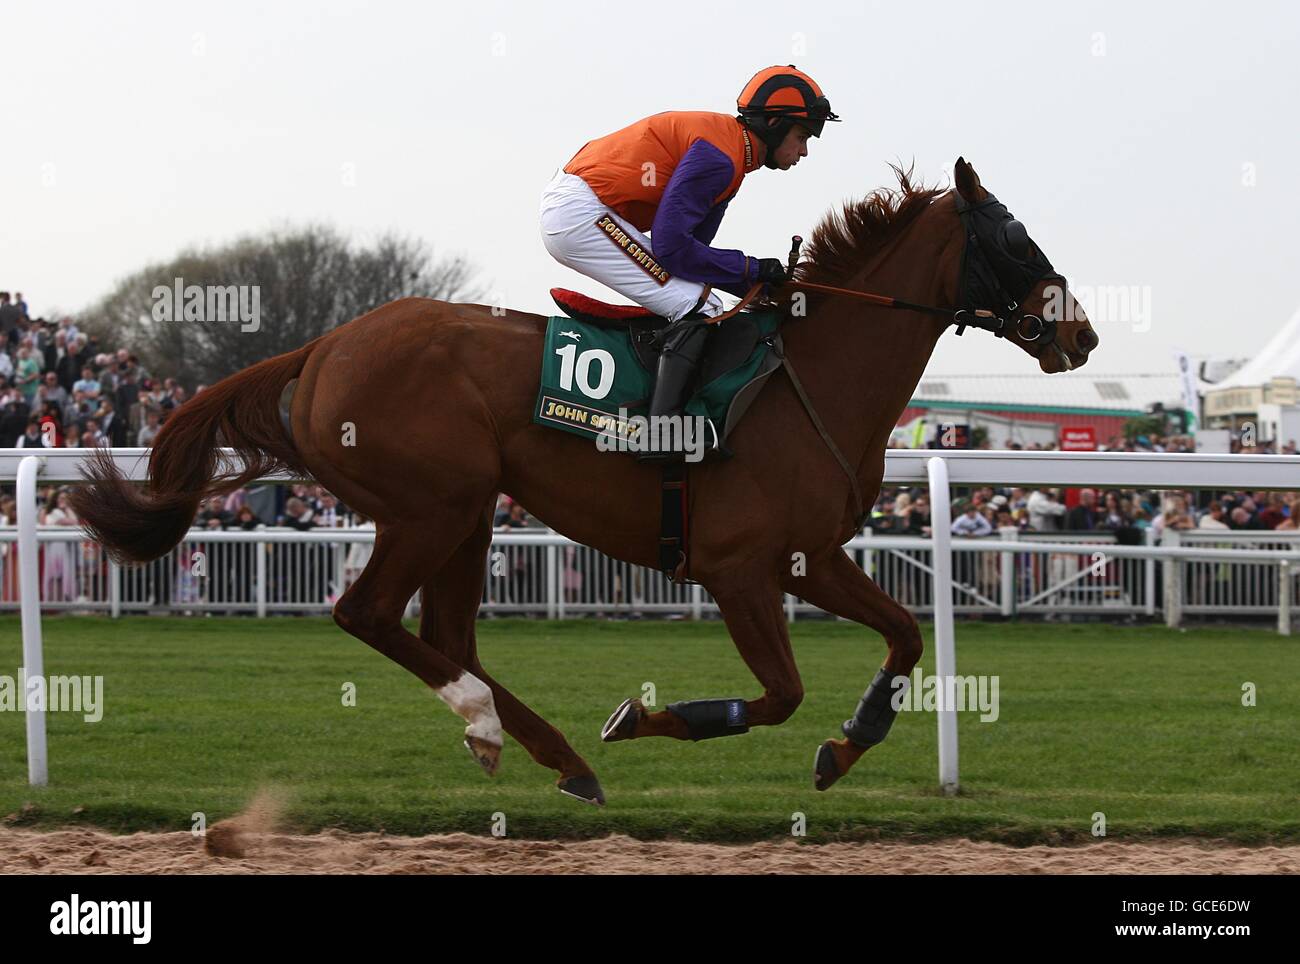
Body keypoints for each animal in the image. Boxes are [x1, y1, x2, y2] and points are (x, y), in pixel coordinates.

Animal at [71, 160, 1097, 805]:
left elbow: (905, 635)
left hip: (469, 511)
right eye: (1014, 237)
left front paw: (849, 745)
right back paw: (492, 725)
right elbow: (776, 694)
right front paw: (642, 718)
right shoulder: (736, 567)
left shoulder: (808, 555)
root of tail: (323, 346)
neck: (809, 379)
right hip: (432, 504)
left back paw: (549, 753)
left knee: (444, 633)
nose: (1079, 331)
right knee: (368, 614)